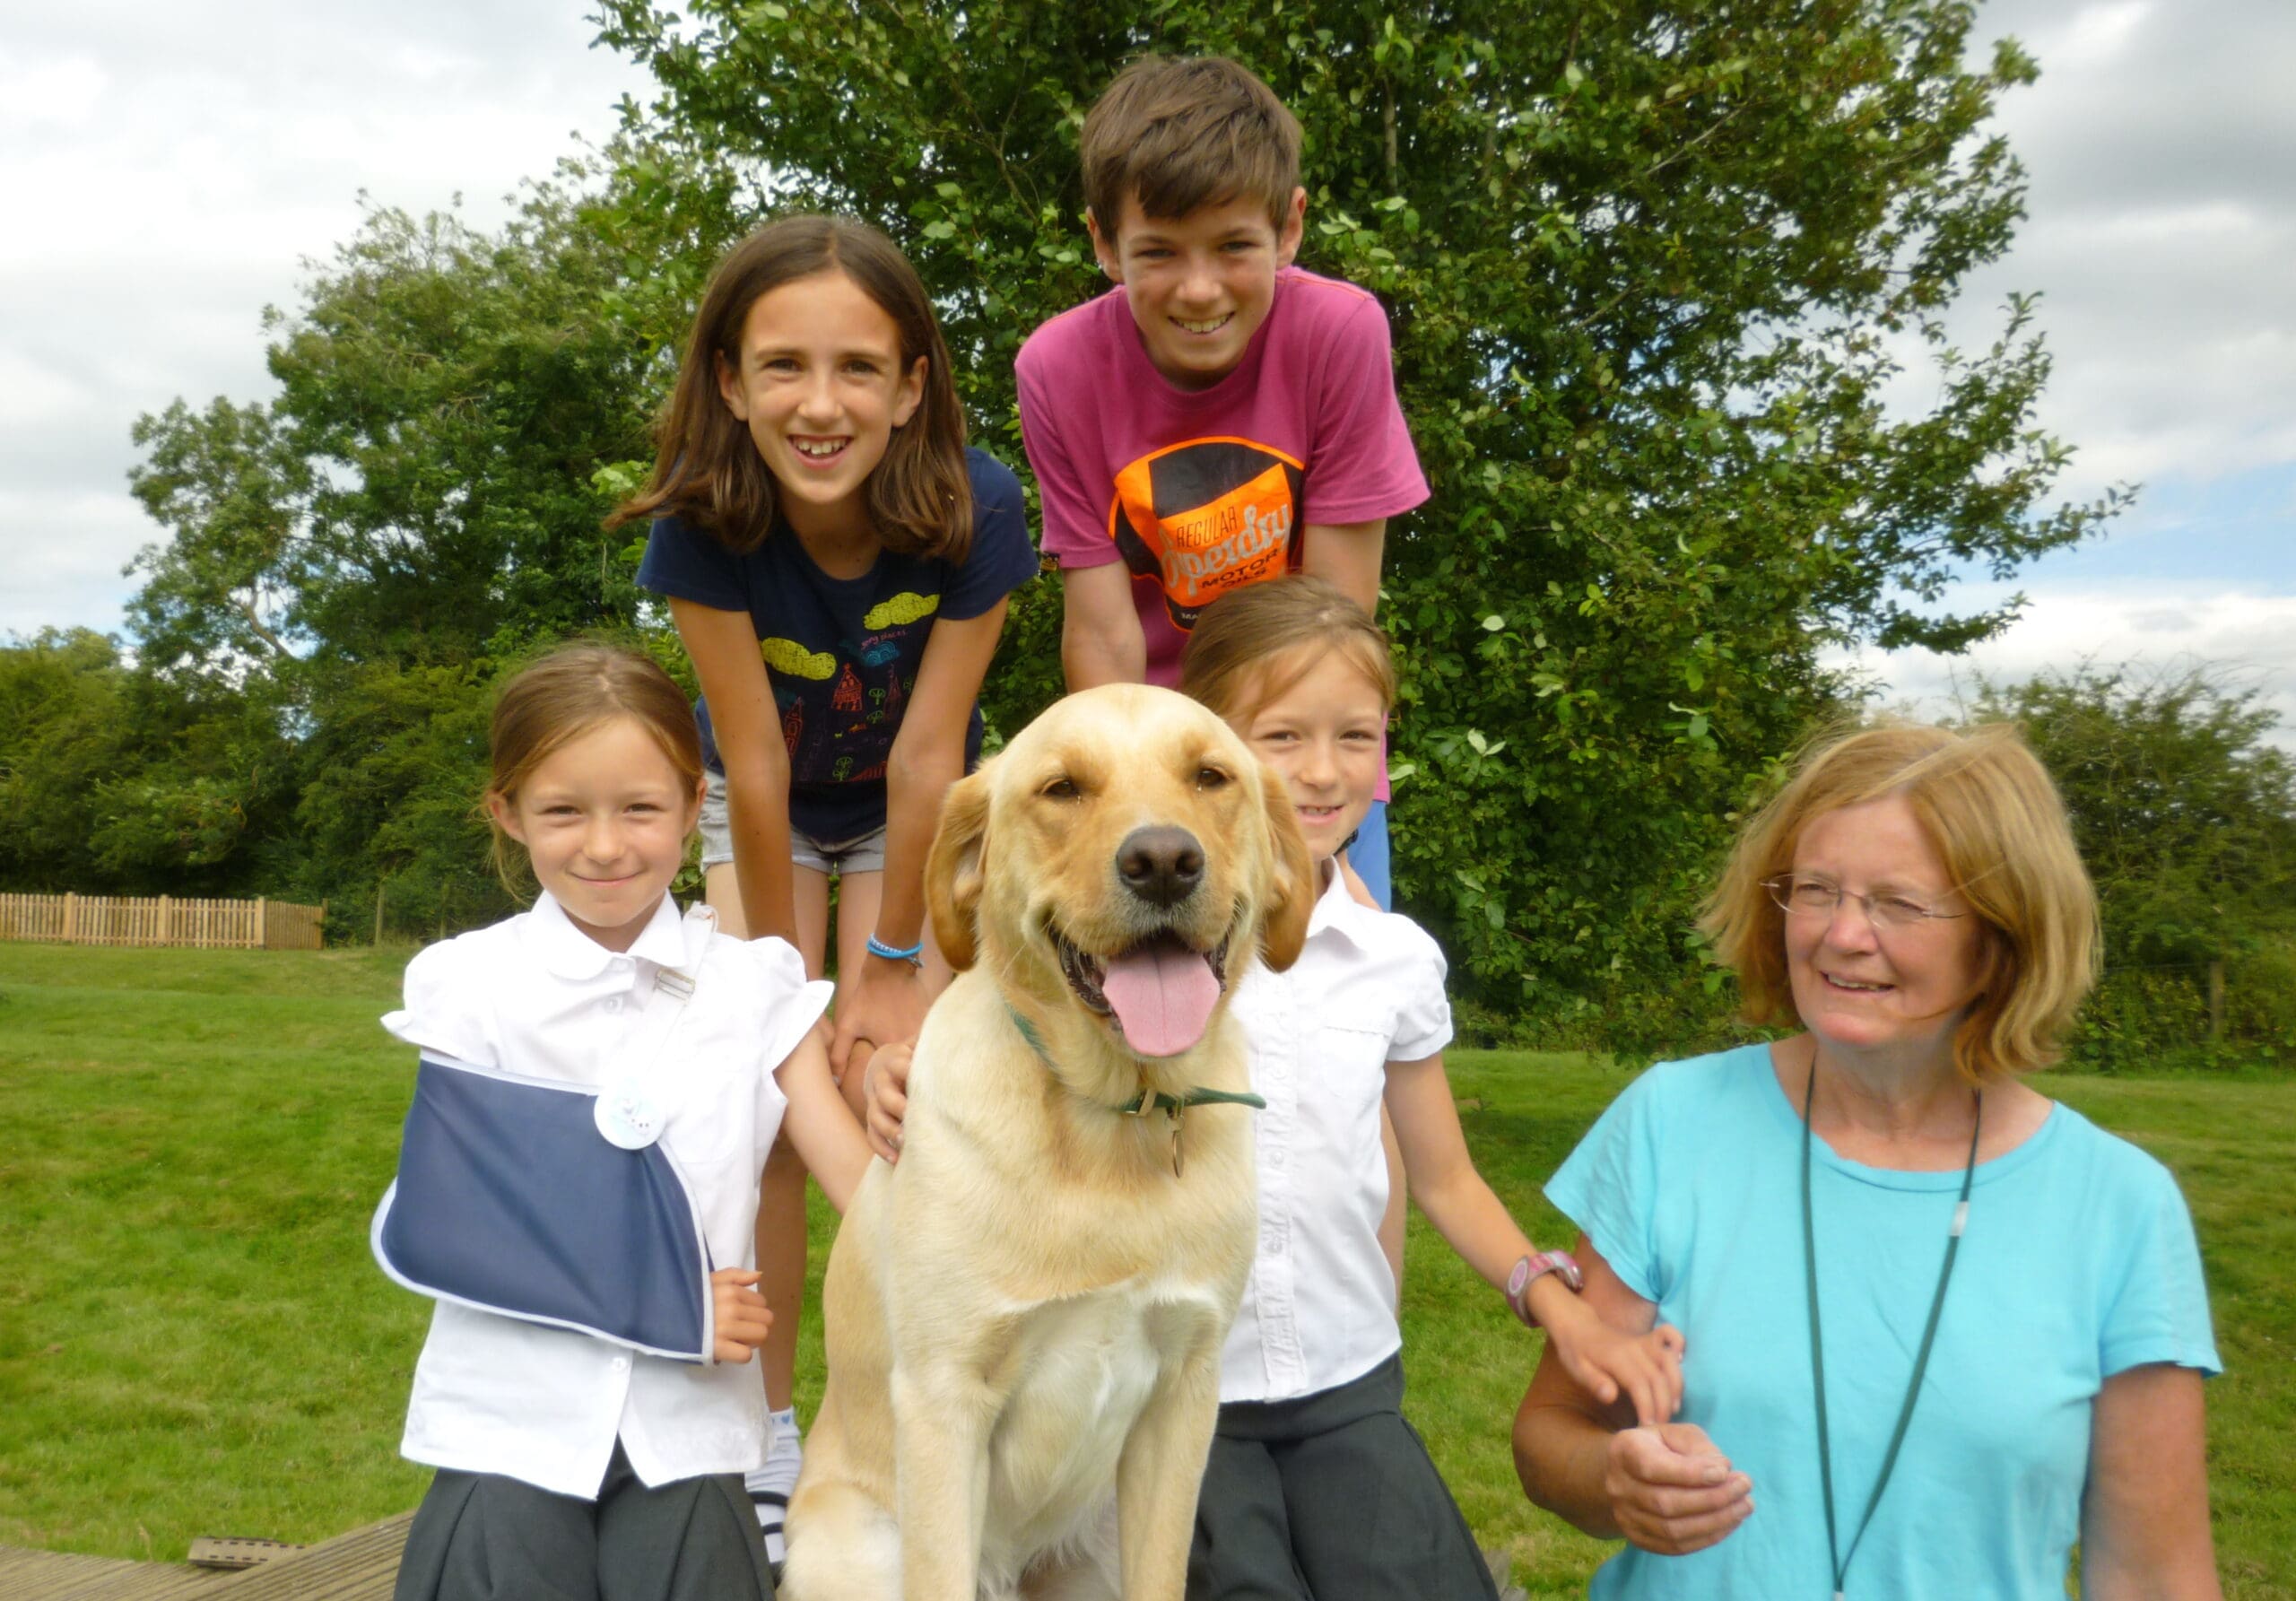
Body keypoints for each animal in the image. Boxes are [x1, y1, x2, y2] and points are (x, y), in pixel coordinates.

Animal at [780, 689, 1313, 1598]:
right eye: (1062, 789)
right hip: (861, 1546)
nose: (1164, 861)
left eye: (1211, 776)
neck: (1114, 1120)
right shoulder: (944, 1397)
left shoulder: (1185, 1393)